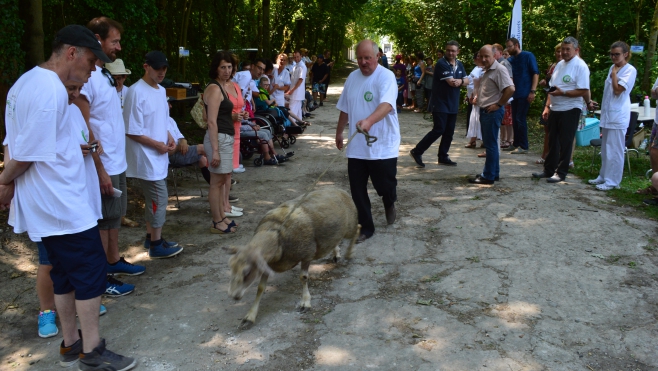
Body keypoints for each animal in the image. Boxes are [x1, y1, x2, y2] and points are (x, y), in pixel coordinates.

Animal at [224, 189, 358, 328]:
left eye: (247, 272)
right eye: (231, 267)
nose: (233, 296)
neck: (277, 235)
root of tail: (338, 189)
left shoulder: (307, 254)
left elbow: (303, 277)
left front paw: (305, 302)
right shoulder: (267, 264)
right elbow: (260, 288)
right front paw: (250, 316)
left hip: (350, 224)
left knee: (358, 228)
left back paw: (349, 253)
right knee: (336, 240)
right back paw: (336, 253)